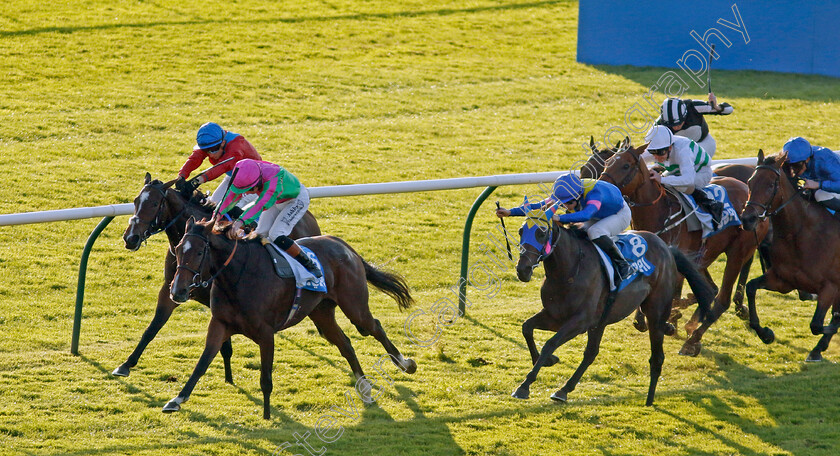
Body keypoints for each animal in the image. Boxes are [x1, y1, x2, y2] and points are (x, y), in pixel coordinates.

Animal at [120, 175, 324, 382]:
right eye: (135, 201)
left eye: (154, 204)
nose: (130, 238)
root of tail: (310, 219)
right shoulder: (172, 289)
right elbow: (153, 327)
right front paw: (126, 365)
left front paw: (228, 376)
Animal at [164, 219, 416, 418]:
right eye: (178, 249)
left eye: (199, 252)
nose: (177, 291)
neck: (238, 276)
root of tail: (341, 243)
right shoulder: (220, 324)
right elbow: (202, 364)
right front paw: (177, 400)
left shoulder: (266, 333)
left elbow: (265, 378)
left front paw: (266, 415)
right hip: (321, 312)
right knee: (346, 344)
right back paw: (364, 389)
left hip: (355, 306)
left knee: (374, 327)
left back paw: (405, 364)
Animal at [508, 208, 712, 404]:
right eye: (520, 231)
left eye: (542, 232)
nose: (522, 269)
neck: (569, 271)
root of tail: (667, 249)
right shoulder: (554, 316)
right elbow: (527, 328)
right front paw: (547, 361)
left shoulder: (580, 322)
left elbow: (550, 344)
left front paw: (524, 386)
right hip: (602, 320)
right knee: (591, 353)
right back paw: (563, 391)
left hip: (655, 312)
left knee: (657, 357)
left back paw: (649, 400)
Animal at [596, 142, 768, 356]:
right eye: (607, 162)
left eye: (626, 166)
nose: (600, 187)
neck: (659, 212)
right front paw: (663, 318)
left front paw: (672, 319)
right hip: (706, 255)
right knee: (711, 289)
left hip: (738, 252)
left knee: (722, 298)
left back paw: (693, 340)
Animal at [740, 151, 840, 362]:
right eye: (750, 181)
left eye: (771, 185)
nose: (747, 219)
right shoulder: (783, 280)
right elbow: (751, 288)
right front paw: (766, 334)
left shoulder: (830, 286)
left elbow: (817, 324)